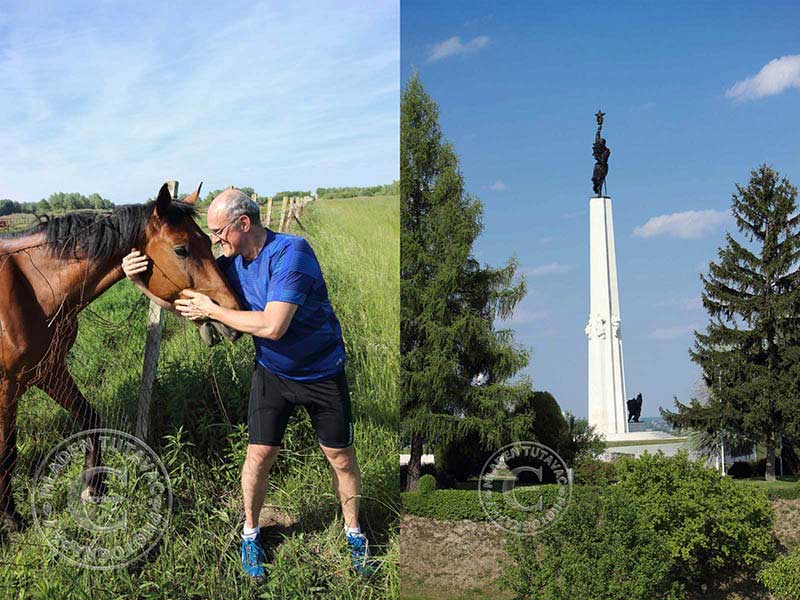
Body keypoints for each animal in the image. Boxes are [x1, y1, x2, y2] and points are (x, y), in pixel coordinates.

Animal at [0, 184, 241, 536]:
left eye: (209, 242)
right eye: (181, 250)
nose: (232, 314)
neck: (31, 288)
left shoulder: (49, 371)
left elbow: (90, 419)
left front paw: (94, 487)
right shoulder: (8, 387)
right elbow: (6, 453)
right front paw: (11, 517)